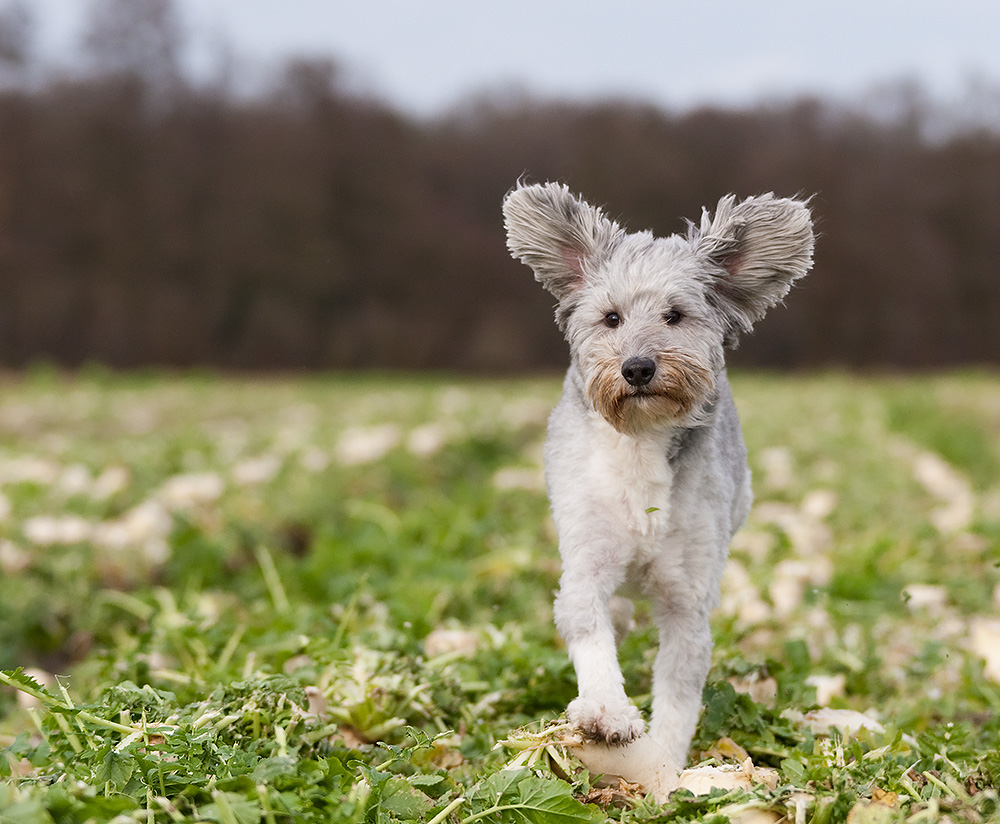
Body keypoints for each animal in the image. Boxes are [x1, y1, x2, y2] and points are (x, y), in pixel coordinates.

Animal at [500, 183, 812, 768]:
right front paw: (607, 715)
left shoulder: (687, 596)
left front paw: (662, 764)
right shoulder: (588, 561)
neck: (642, 439)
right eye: (611, 318)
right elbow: (590, 630)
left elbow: (678, 689)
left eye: (675, 315)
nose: (638, 367)